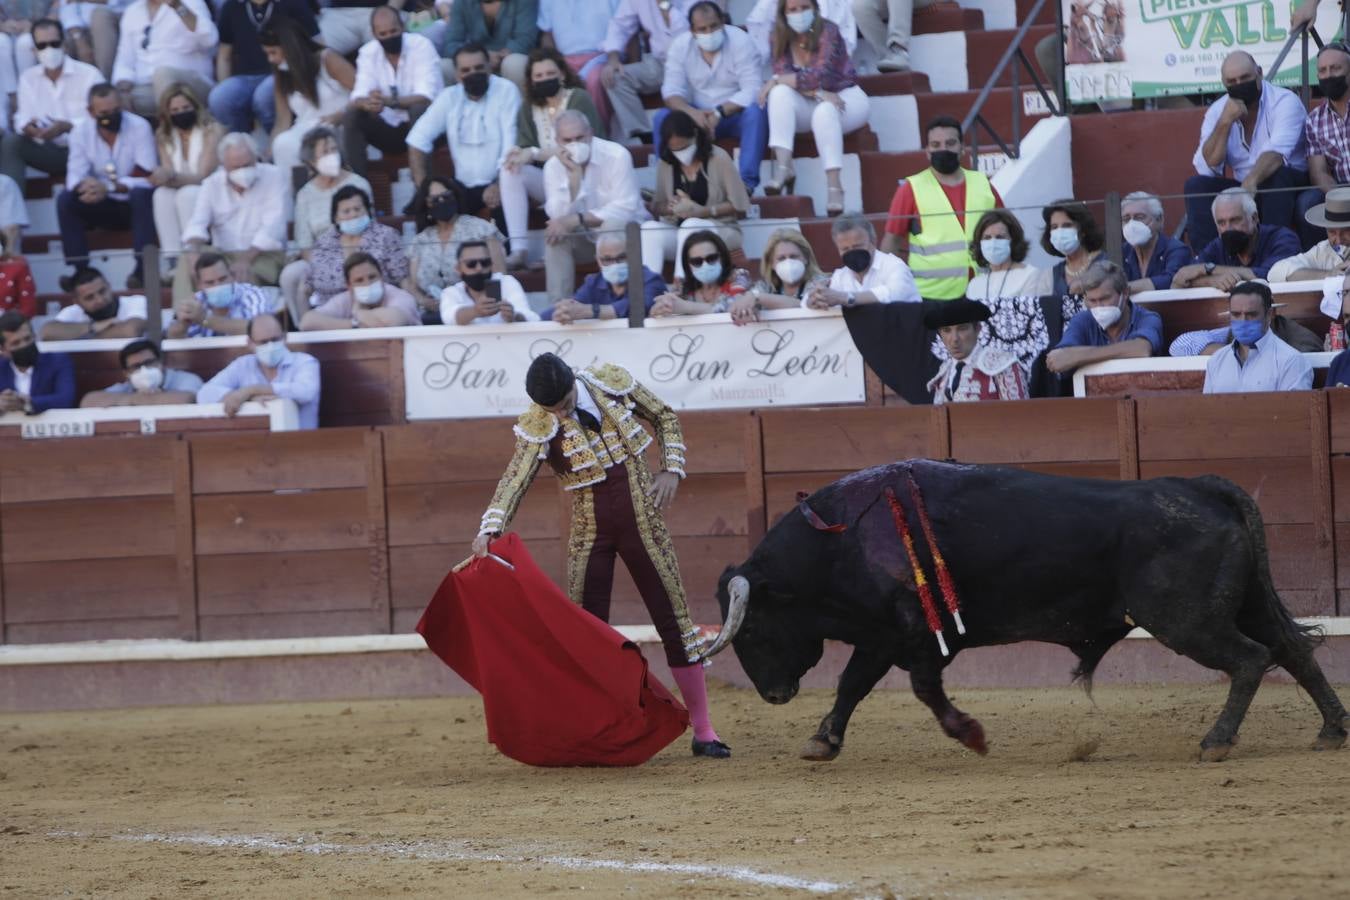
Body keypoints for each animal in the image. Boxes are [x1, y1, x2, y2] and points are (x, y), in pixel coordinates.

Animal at [707, 458, 1350, 761]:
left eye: (752, 629)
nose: (773, 695)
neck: (842, 538)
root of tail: (1196, 486)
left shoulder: (915, 635)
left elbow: (921, 688)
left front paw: (970, 734)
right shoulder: (882, 634)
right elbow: (851, 685)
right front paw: (822, 741)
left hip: (1186, 620)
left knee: (1251, 659)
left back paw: (1216, 741)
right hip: (1242, 606)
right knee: (1292, 649)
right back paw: (1330, 732)